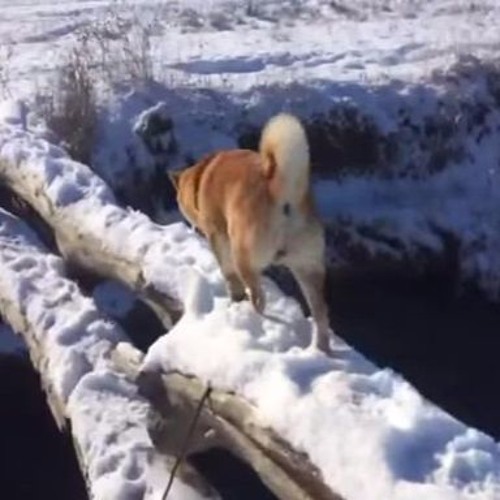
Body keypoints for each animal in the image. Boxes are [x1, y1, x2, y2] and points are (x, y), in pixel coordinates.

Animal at [170, 115, 334, 354]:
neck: (202, 177)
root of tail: (282, 190)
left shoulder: (218, 237)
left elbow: (229, 276)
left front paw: (235, 299)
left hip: (245, 257)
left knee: (258, 297)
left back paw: (256, 318)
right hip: (308, 268)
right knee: (321, 314)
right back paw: (320, 349)